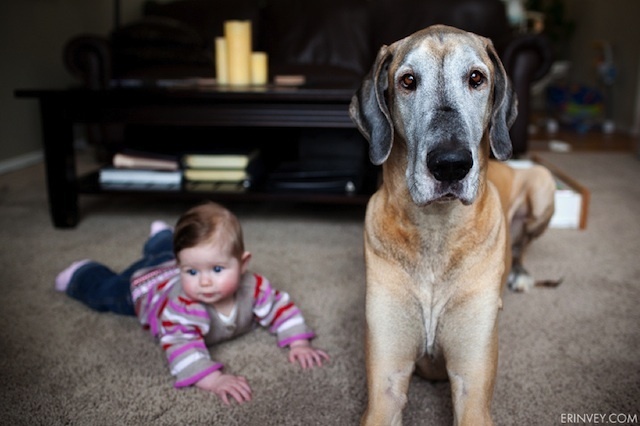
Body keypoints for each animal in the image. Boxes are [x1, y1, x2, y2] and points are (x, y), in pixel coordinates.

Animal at [350, 25, 560, 424]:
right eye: (408, 81)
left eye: (476, 78)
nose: (450, 164)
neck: (436, 230)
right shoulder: (386, 384)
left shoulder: (471, 386)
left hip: (543, 184)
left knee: (523, 246)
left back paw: (520, 275)